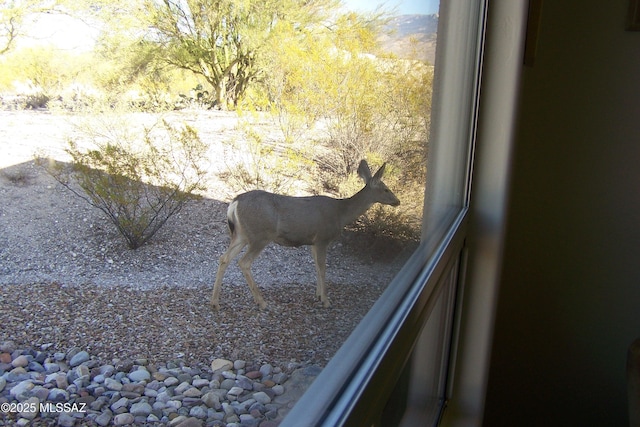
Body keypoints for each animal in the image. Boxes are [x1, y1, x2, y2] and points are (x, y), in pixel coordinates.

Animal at [211, 160, 400, 310]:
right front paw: (326, 300)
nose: (397, 201)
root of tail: (235, 203)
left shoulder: (313, 242)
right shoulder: (323, 238)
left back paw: (215, 302)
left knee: (224, 258)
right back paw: (262, 302)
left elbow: (316, 265)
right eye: (386, 189)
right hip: (260, 235)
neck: (341, 214)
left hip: (241, 234)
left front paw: (318, 295)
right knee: (244, 262)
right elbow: (323, 267)